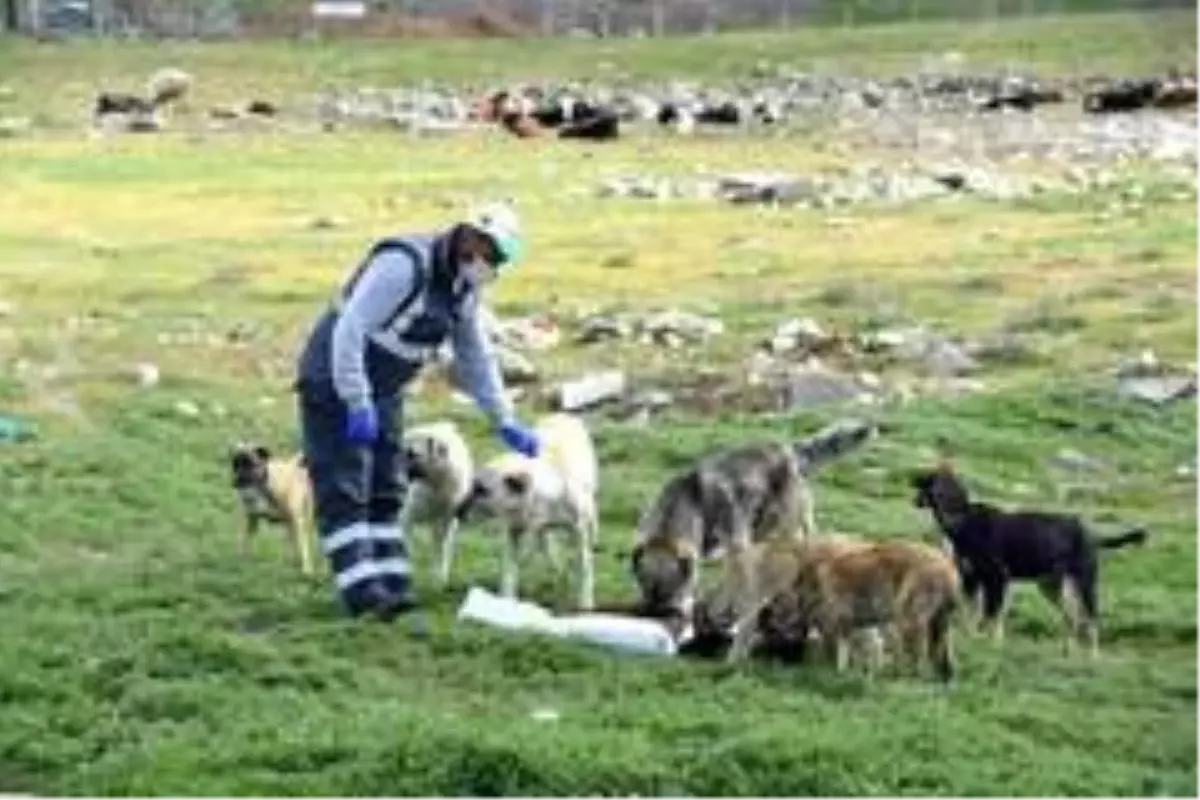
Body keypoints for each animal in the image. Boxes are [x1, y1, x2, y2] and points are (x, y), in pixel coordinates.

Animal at [228, 443, 316, 575]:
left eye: (250, 464)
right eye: (235, 465)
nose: (236, 480)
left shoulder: (295, 521)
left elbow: (302, 548)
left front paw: (306, 569)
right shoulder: (252, 519)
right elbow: (247, 541)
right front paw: (244, 560)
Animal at [403, 419, 477, 587]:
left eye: (413, 454)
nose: (403, 475)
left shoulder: (446, 521)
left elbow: (441, 547)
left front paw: (439, 577)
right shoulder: (409, 514)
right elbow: (405, 536)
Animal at [465, 417, 600, 609]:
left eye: (481, 489)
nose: (459, 511)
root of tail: (561, 415)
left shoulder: (577, 531)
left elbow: (584, 567)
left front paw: (585, 603)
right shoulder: (513, 531)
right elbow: (509, 569)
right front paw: (506, 601)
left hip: (589, 496)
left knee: (591, 516)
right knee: (545, 542)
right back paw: (554, 564)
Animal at [715, 532, 960, 681]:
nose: (721, 613)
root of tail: (948, 567)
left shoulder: (839, 618)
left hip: (910, 619)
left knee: (919, 657)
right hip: (939, 622)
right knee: (942, 655)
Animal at [912, 455, 1147, 657]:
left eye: (926, 483)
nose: (915, 500)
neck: (963, 522)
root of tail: (1092, 534)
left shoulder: (997, 578)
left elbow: (991, 615)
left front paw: (989, 644)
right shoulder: (972, 579)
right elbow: (971, 615)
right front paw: (973, 641)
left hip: (1085, 580)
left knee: (1091, 617)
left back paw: (1093, 656)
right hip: (1050, 585)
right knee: (1071, 617)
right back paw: (1067, 652)